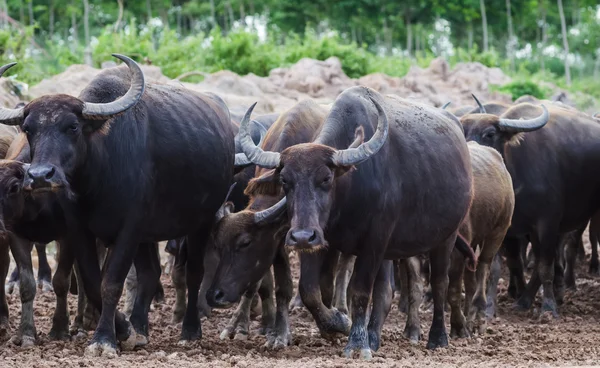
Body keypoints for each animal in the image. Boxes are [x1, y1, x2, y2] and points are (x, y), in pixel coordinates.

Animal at [0, 55, 236, 356]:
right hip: (149, 235)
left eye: (72, 126)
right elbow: (92, 281)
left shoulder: (129, 229)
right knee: (150, 274)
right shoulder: (79, 230)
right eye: (29, 129)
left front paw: (103, 339)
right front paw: (123, 330)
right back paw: (140, 328)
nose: (41, 176)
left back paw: (190, 330)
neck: (97, 178)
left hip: (201, 222)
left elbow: (111, 282)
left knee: (194, 272)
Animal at [237, 86, 476, 356]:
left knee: (439, 283)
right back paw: (373, 337)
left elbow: (360, 291)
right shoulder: (319, 239)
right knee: (384, 291)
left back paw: (437, 337)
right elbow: (310, 290)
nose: (301, 236)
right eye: (285, 180)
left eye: (326, 178)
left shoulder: (374, 241)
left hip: (447, 237)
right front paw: (337, 323)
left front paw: (357, 343)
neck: (349, 195)